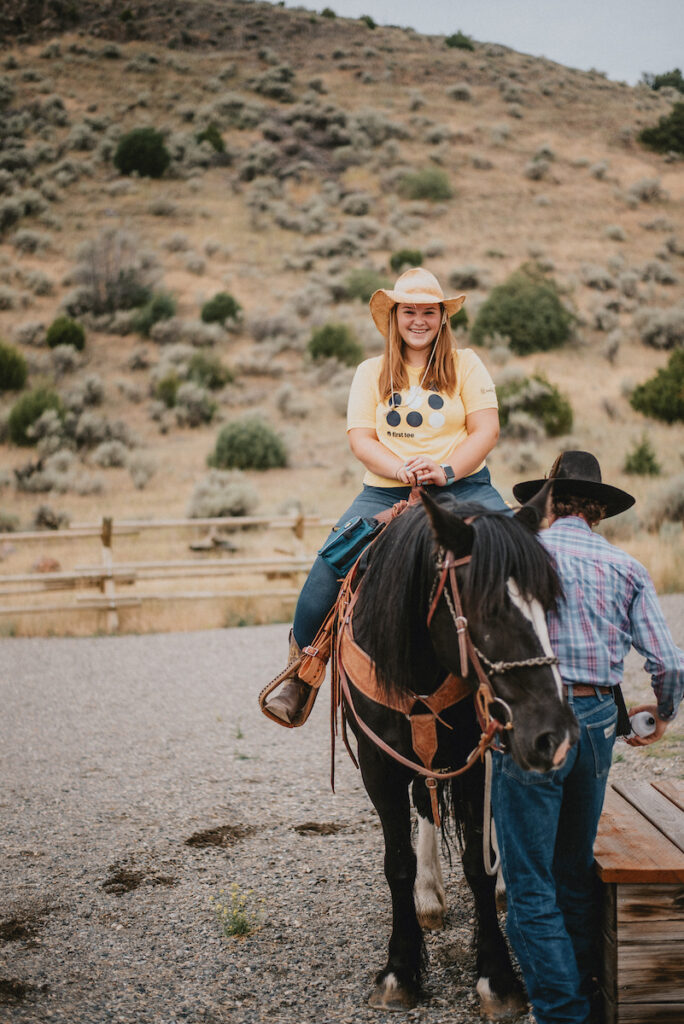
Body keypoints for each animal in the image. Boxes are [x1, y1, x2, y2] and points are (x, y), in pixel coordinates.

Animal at [334, 488, 579, 1018]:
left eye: (549, 604)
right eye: (488, 609)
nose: (554, 736)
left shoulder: (477, 758)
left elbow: (475, 862)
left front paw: (497, 977)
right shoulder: (378, 765)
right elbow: (398, 862)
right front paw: (400, 971)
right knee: (425, 804)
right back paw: (429, 896)